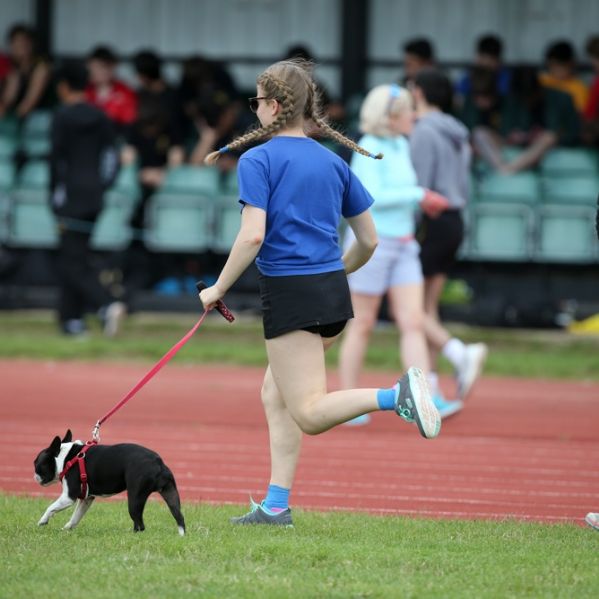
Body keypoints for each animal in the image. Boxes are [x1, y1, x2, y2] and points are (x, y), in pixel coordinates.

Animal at [33, 428, 185, 536]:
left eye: (36, 464)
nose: (34, 475)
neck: (66, 458)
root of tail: (158, 463)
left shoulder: (68, 497)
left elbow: (51, 507)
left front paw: (42, 521)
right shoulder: (86, 499)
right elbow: (76, 516)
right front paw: (67, 528)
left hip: (135, 498)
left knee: (139, 524)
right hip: (170, 492)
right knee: (179, 516)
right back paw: (181, 535)